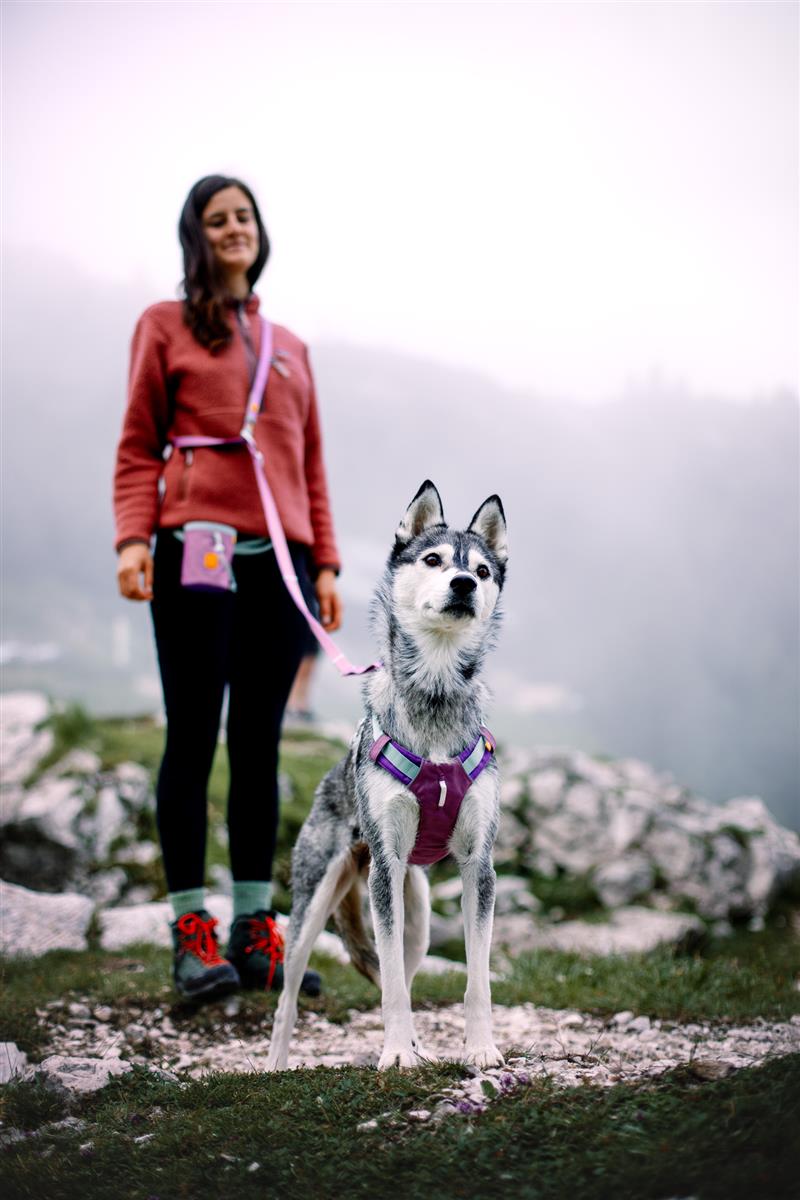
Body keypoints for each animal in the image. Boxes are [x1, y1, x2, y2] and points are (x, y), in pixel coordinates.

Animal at [266, 480, 508, 1071]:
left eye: (483, 569)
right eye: (433, 559)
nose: (464, 583)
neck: (436, 696)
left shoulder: (479, 866)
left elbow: (476, 980)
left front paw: (480, 1048)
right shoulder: (387, 866)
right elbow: (392, 986)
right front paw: (396, 1055)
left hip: (415, 912)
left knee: (407, 967)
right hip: (316, 904)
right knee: (289, 996)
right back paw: (274, 1065)